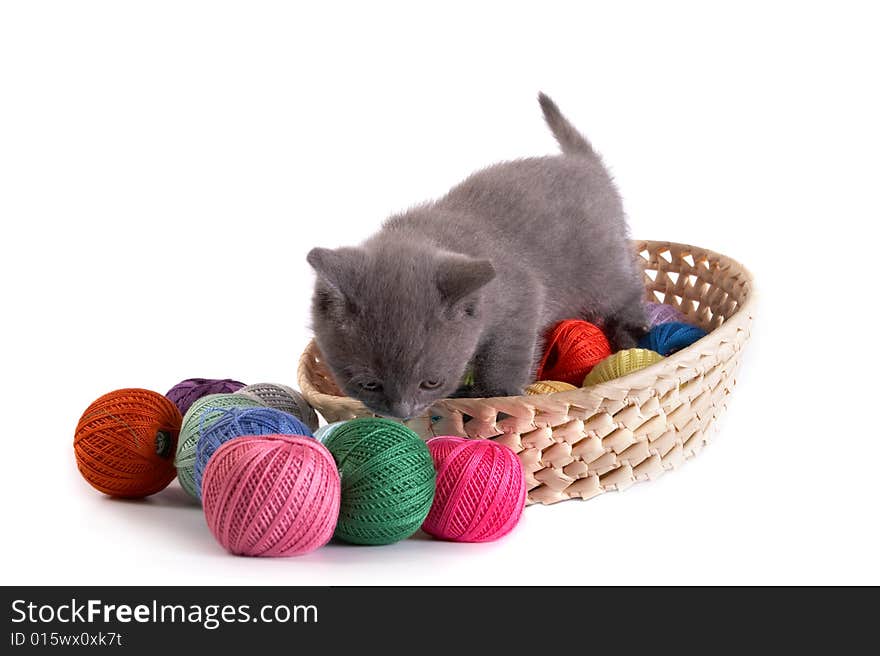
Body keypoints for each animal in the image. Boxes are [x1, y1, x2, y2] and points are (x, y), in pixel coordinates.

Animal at [310, 94, 648, 418]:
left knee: (629, 290)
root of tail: (584, 163)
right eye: (368, 384)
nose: (403, 412)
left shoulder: (523, 298)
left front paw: (497, 396)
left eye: (431, 382)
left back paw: (631, 333)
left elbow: (508, 354)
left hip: (601, 271)